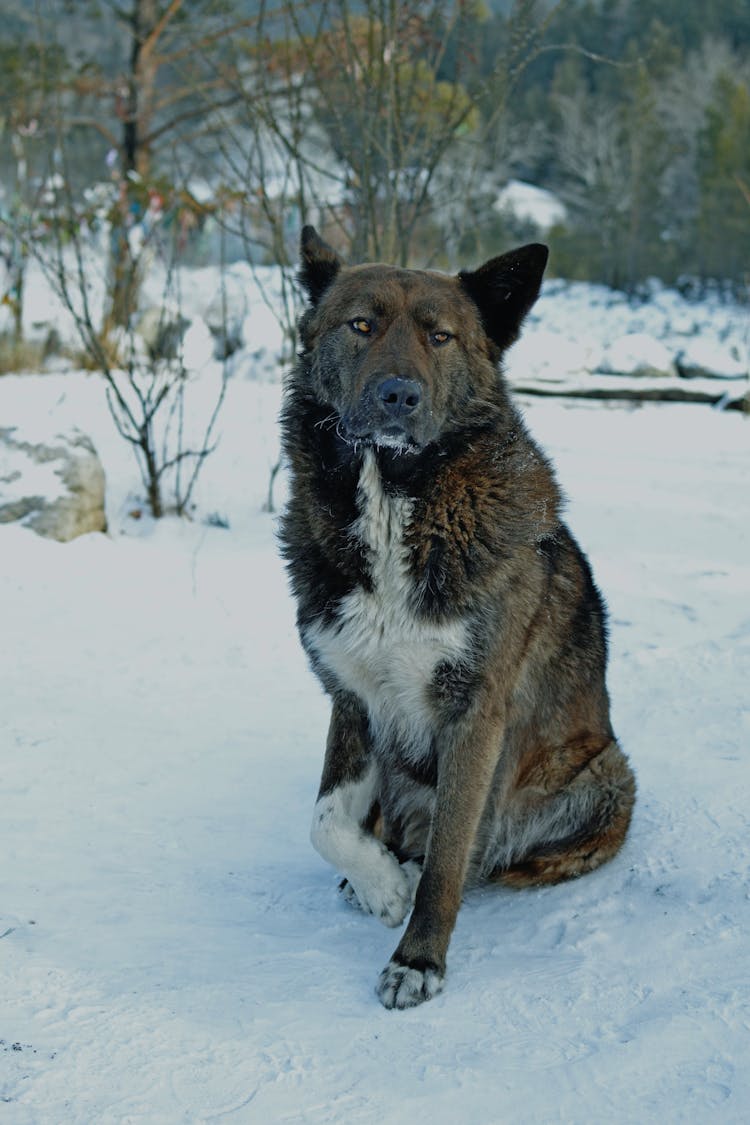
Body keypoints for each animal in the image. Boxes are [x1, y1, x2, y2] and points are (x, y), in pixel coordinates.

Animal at [278, 226, 638, 1012]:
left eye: (440, 336)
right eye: (362, 325)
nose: (399, 395)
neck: (393, 499)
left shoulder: (475, 712)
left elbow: (450, 852)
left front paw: (417, 957)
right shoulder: (353, 695)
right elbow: (324, 819)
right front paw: (381, 885)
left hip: (606, 776)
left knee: (493, 853)